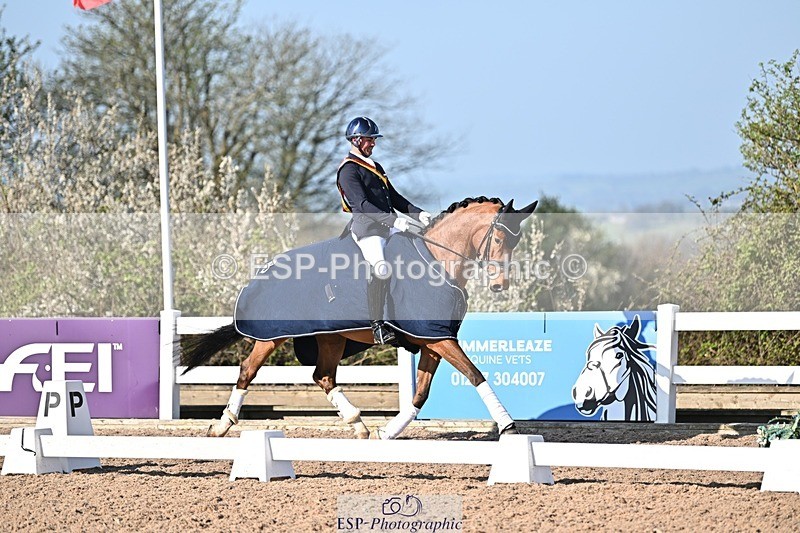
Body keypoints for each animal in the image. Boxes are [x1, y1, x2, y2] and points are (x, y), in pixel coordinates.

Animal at [180, 196, 538, 439]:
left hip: (330, 337)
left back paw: (359, 424)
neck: (437, 259)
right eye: (499, 238)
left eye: (516, 240)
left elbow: (420, 394)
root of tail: (261, 274)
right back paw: (222, 425)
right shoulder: (437, 337)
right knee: (248, 370)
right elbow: (475, 375)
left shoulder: (434, 339)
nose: (500, 285)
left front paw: (388, 432)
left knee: (323, 376)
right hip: (274, 335)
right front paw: (508, 425)